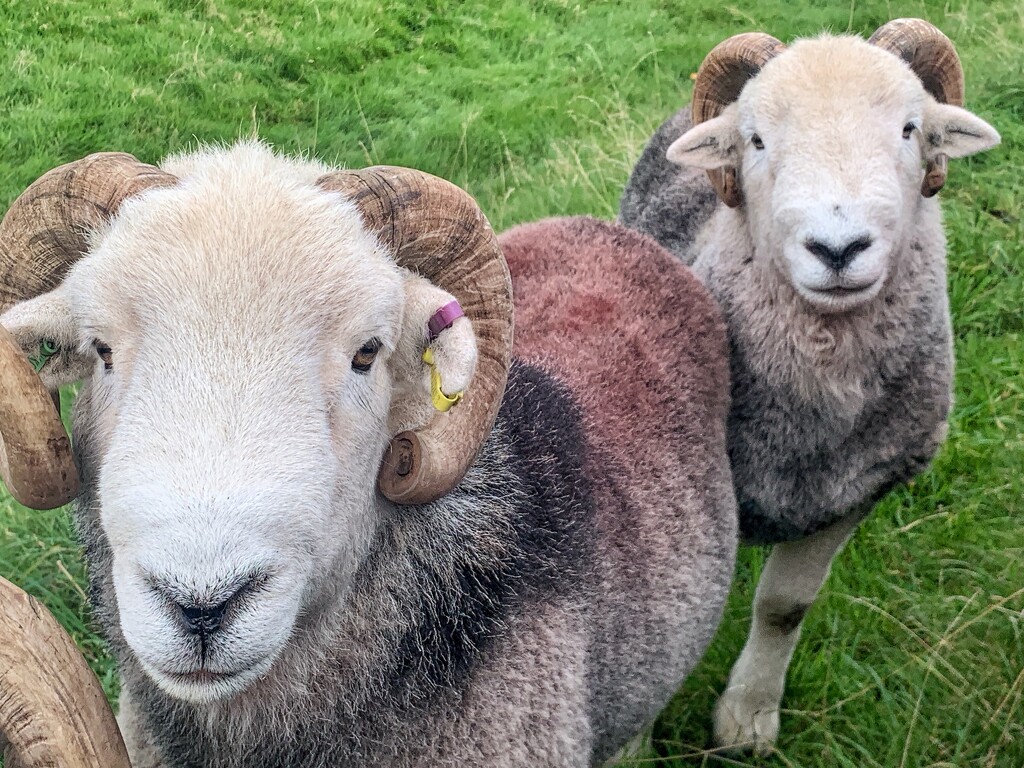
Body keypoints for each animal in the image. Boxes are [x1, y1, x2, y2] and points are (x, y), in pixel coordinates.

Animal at [614, 16, 999, 753]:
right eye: (757, 140)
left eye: (911, 128)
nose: (838, 248)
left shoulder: (854, 491)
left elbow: (784, 607)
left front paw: (747, 719)